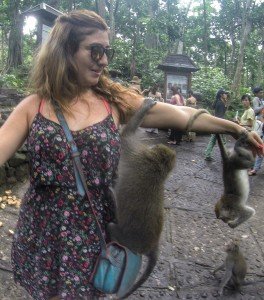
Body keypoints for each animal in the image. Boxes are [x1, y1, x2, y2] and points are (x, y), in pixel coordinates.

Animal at [106, 98, 176, 298]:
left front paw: (146, 106)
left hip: (128, 241)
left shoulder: (138, 154)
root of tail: (152, 246)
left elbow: (126, 134)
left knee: (112, 227)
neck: (157, 170)